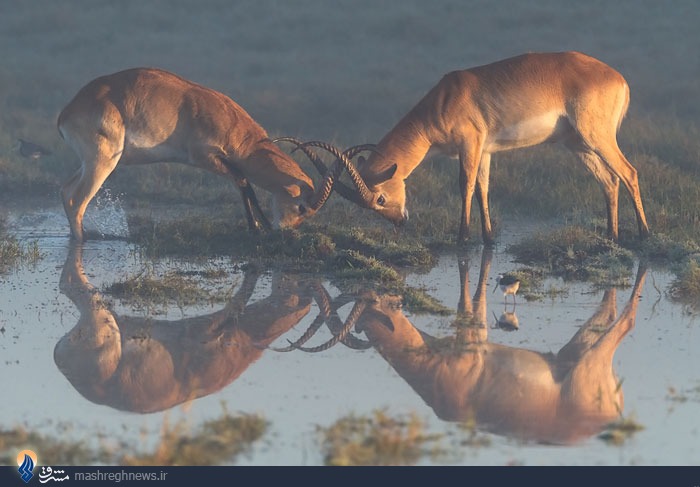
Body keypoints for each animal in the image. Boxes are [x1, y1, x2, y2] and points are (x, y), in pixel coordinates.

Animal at [56, 67, 350, 243]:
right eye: (302, 208)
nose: (286, 232)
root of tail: (68, 111)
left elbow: (243, 181)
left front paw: (259, 225)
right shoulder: (204, 158)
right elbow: (242, 180)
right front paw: (258, 227)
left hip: (91, 163)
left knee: (65, 190)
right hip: (102, 164)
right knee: (77, 202)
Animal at [312, 51, 652, 246]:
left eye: (380, 198)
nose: (400, 221)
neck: (443, 102)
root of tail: (619, 79)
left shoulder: (470, 144)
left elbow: (465, 186)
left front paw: (462, 238)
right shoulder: (485, 150)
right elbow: (482, 189)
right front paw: (488, 239)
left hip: (596, 137)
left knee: (630, 173)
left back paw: (644, 235)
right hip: (577, 143)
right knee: (610, 181)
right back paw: (612, 236)